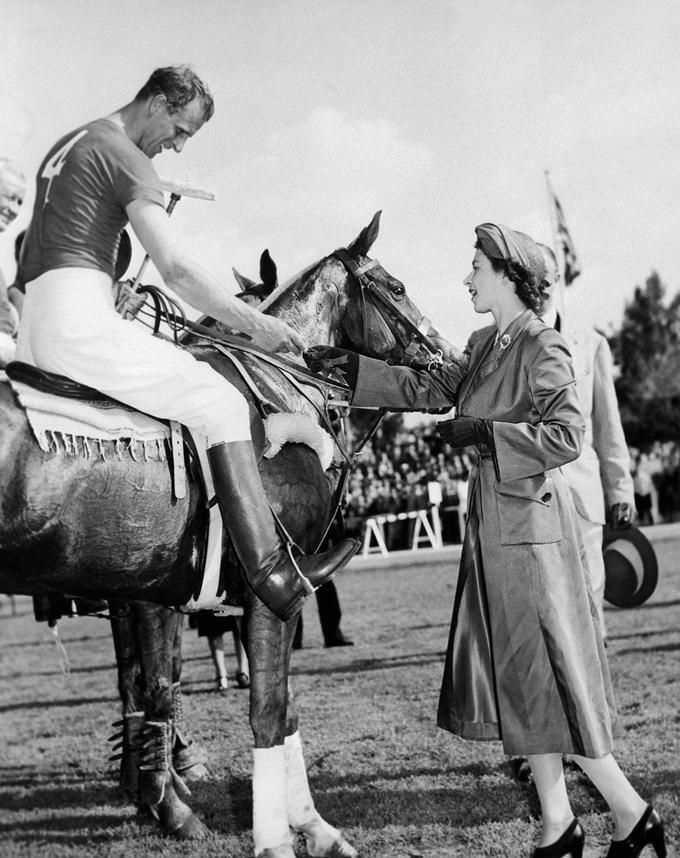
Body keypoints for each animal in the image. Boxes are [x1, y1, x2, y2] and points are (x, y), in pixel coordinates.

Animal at [0, 212, 462, 848]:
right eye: (396, 287)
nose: (453, 360)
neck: (277, 397)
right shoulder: (265, 593)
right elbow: (260, 707)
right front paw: (283, 825)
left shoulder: (151, 593)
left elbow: (156, 685)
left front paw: (160, 794)